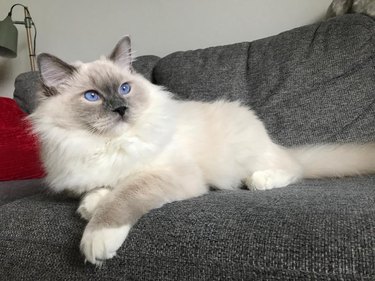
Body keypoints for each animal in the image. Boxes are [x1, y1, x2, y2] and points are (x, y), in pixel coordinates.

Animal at [29, 35, 375, 264]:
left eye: (125, 89)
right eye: (92, 97)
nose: (121, 109)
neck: (107, 143)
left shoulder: (170, 174)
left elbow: (123, 196)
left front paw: (97, 237)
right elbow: (98, 191)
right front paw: (91, 205)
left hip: (251, 157)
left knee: (293, 169)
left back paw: (260, 181)